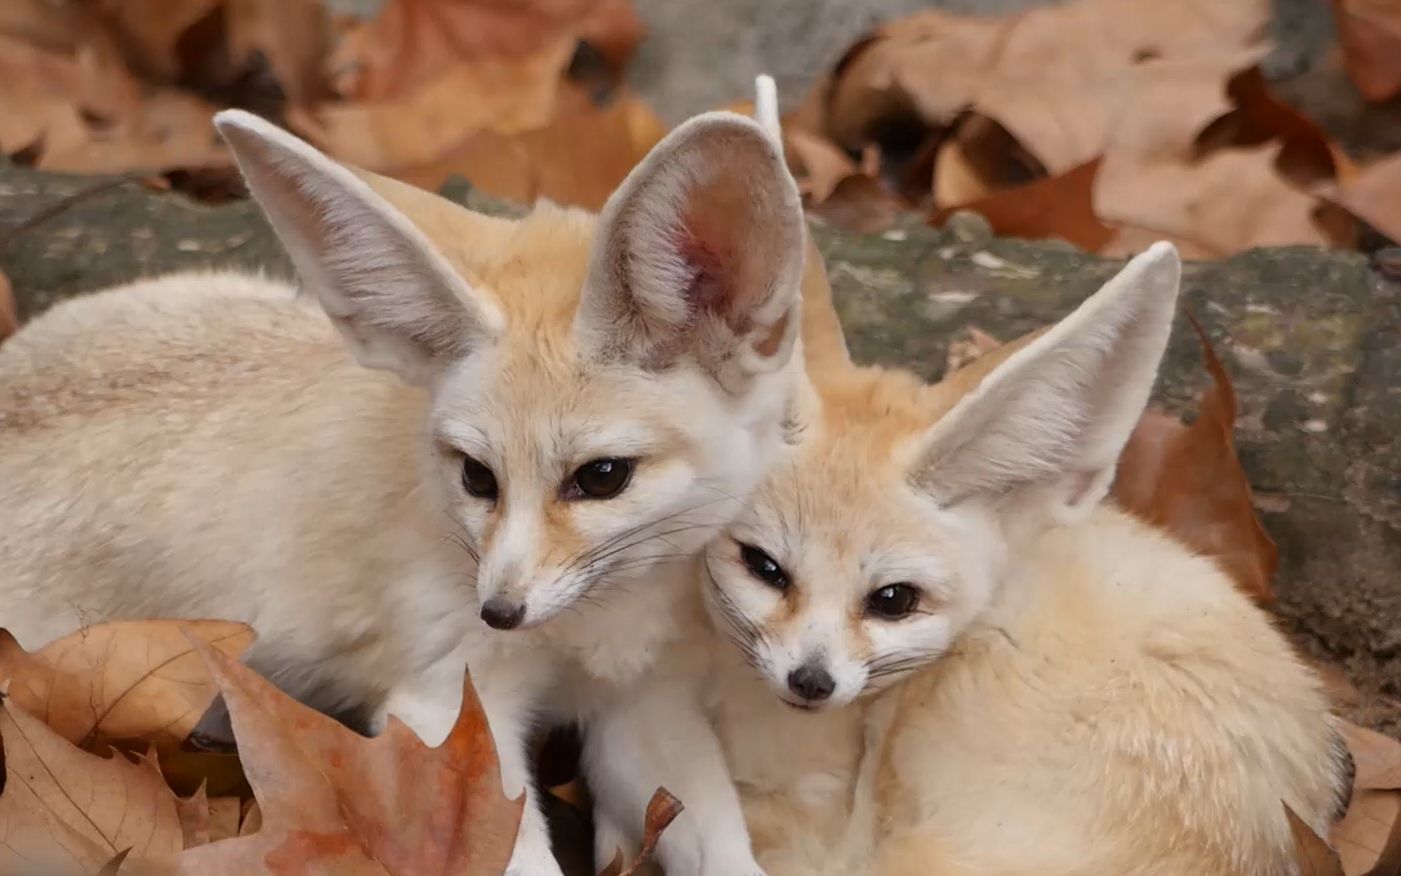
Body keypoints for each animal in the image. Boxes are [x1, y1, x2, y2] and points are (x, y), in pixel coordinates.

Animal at [0, 105, 806, 868]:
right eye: (476, 475)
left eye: (601, 477)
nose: (499, 612)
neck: (594, 629)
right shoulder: (445, 707)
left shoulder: (642, 706)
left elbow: (725, 849)